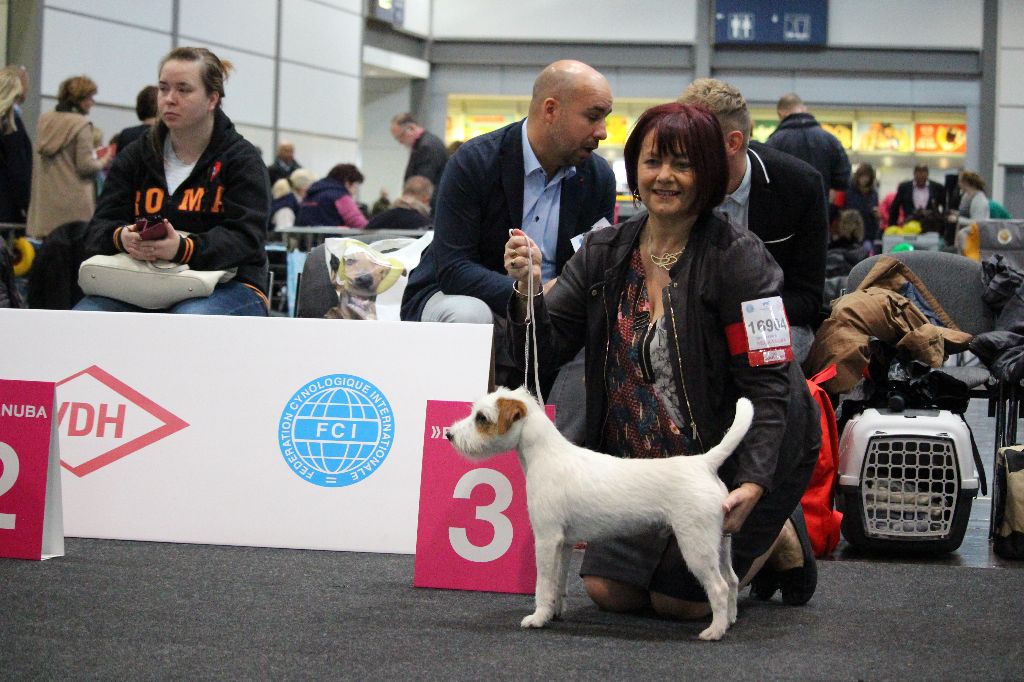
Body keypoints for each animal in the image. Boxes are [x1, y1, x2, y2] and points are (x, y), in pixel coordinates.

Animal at [446, 385, 753, 638]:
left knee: (718, 587)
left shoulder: (546, 539)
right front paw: (555, 612)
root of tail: (704, 464)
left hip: (696, 545)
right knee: (732, 580)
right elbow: (559, 582)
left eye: (481, 418)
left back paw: (714, 631)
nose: (449, 434)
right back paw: (730, 621)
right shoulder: (564, 543)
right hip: (720, 541)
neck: (545, 456)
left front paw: (538, 617)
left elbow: (543, 583)